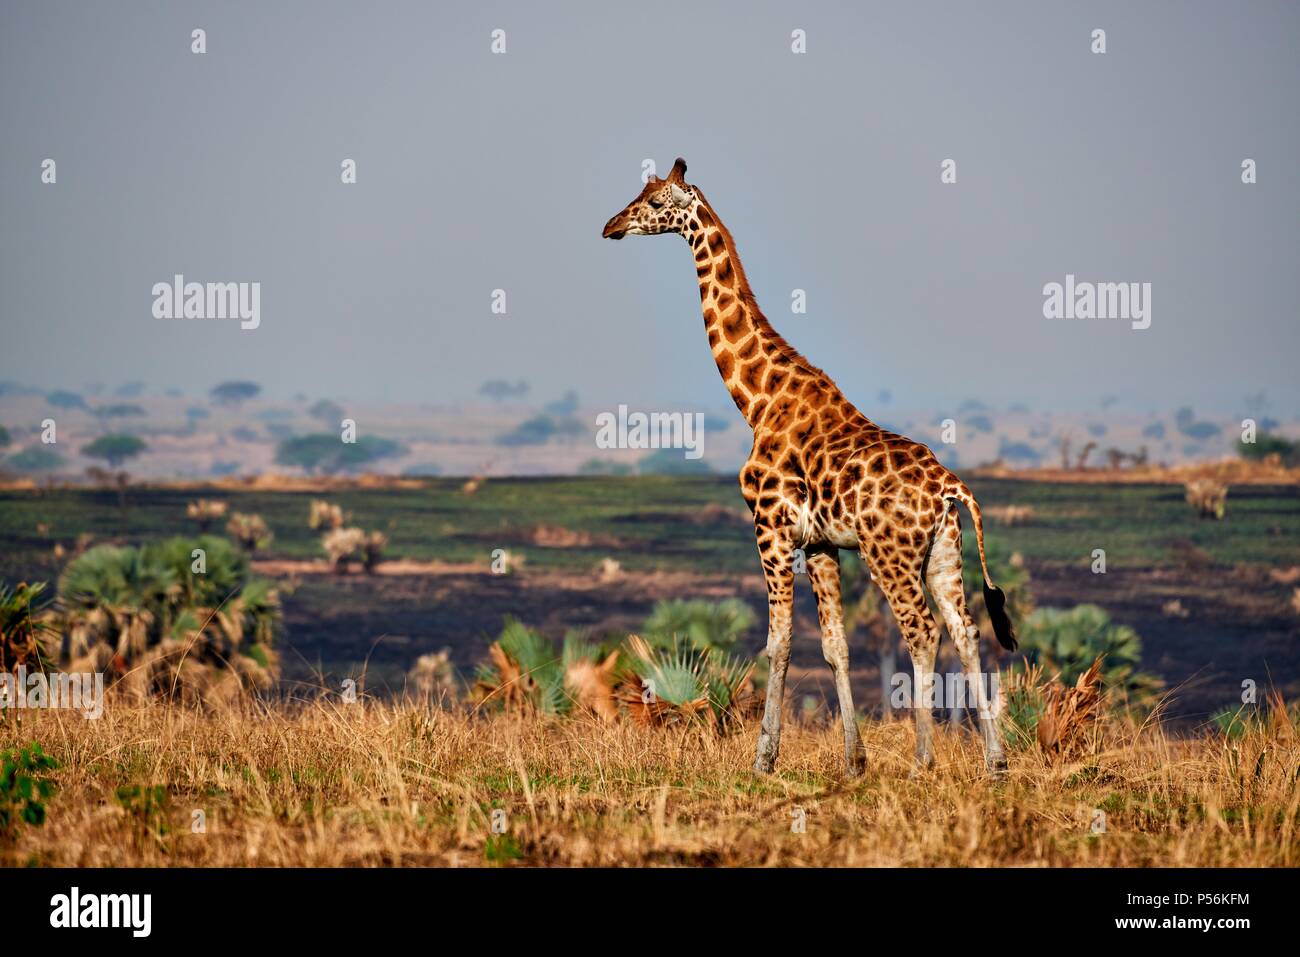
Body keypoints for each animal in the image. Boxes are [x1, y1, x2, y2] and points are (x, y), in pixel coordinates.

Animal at [603, 158, 1018, 776]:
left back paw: (922, 759)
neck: (756, 399)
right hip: (944, 550)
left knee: (921, 631)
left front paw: (763, 759)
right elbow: (834, 645)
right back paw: (994, 761)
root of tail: (951, 488)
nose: (610, 226)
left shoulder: (770, 526)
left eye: (655, 203)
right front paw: (853, 761)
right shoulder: (820, 543)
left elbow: (779, 643)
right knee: (965, 629)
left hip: (889, 553)